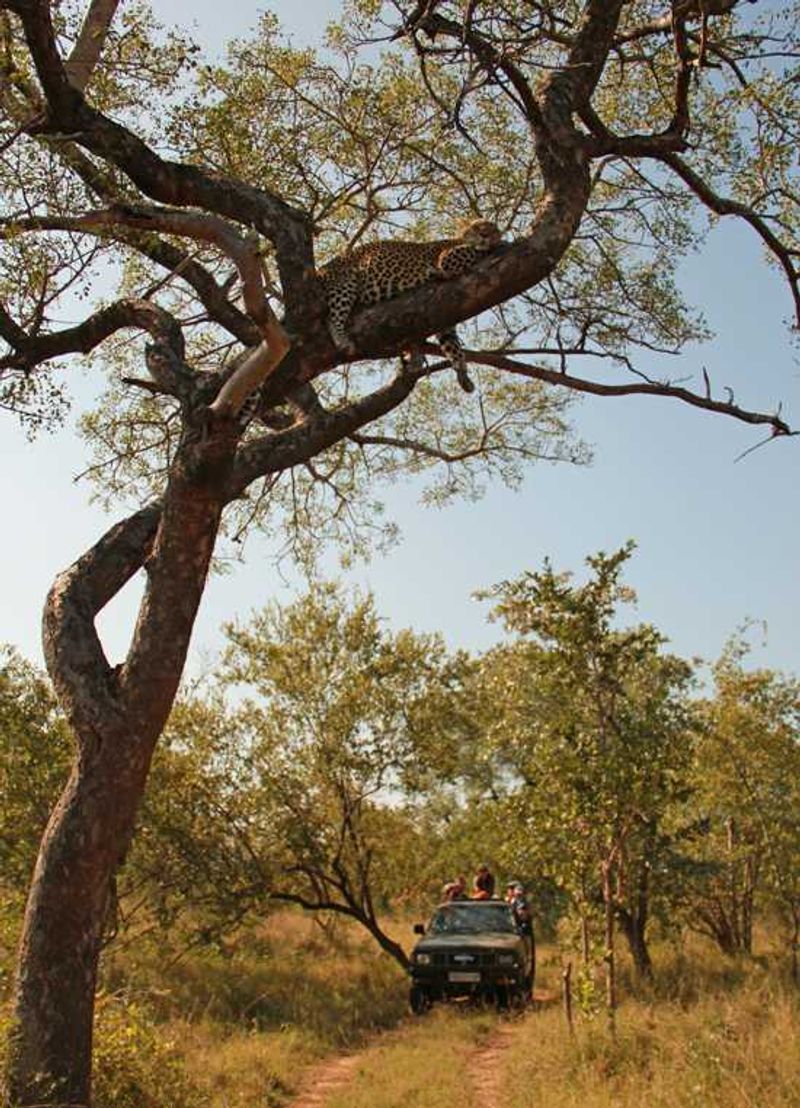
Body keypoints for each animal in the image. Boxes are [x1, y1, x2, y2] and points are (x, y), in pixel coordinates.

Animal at [318, 219, 504, 393]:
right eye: (477, 227)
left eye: (493, 230)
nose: (485, 235)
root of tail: (321, 269)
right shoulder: (447, 257)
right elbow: (475, 250)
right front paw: (497, 244)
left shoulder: (445, 316)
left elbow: (451, 344)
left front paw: (463, 374)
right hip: (344, 283)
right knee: (331, 316)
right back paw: (342, 340)